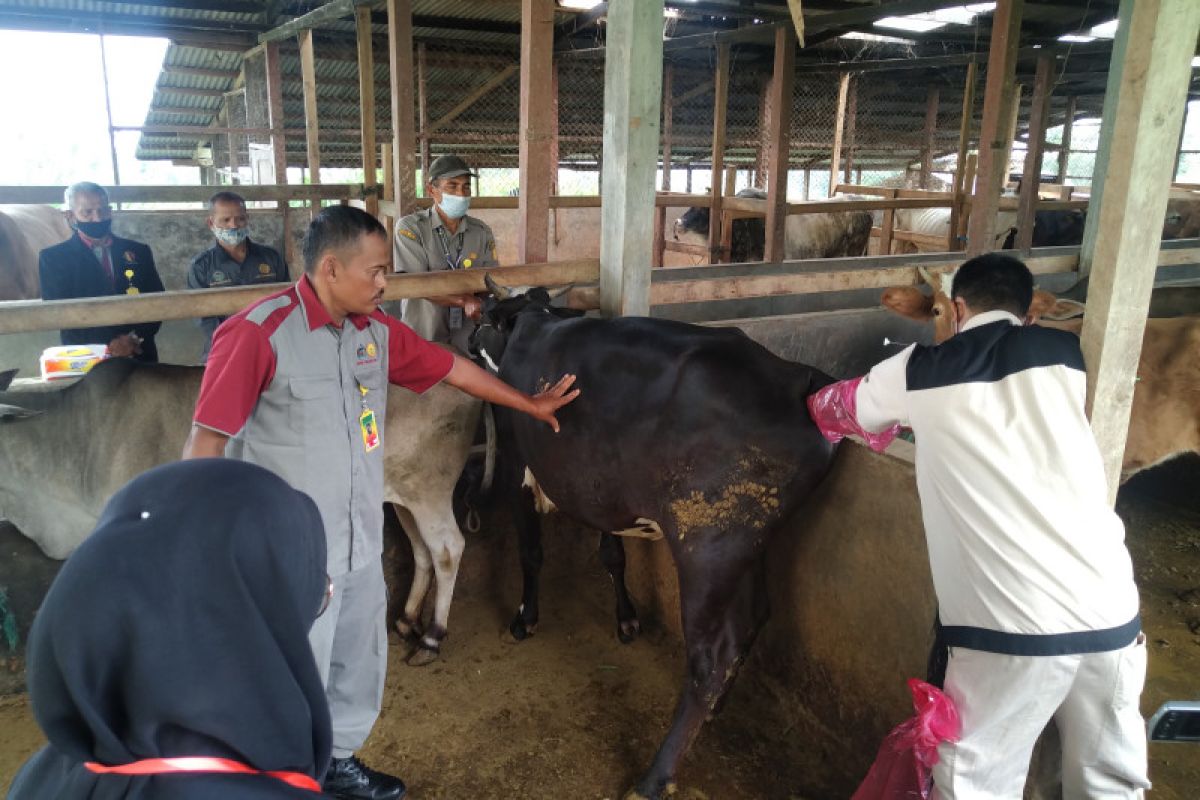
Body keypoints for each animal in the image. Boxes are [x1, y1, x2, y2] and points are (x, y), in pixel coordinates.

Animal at [468, 277, 835, 800]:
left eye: (484, 315)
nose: (467, 337)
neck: (532, 325)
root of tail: (795, 378)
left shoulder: (518, 470)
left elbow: (531, 552)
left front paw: (525, 619)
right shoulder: (596, 485)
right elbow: (611, 552)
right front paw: (626, 619)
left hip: (707, 547)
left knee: (709, 658)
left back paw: (655, 776)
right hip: (751, 545)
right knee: (755, 617)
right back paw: (716, 709)